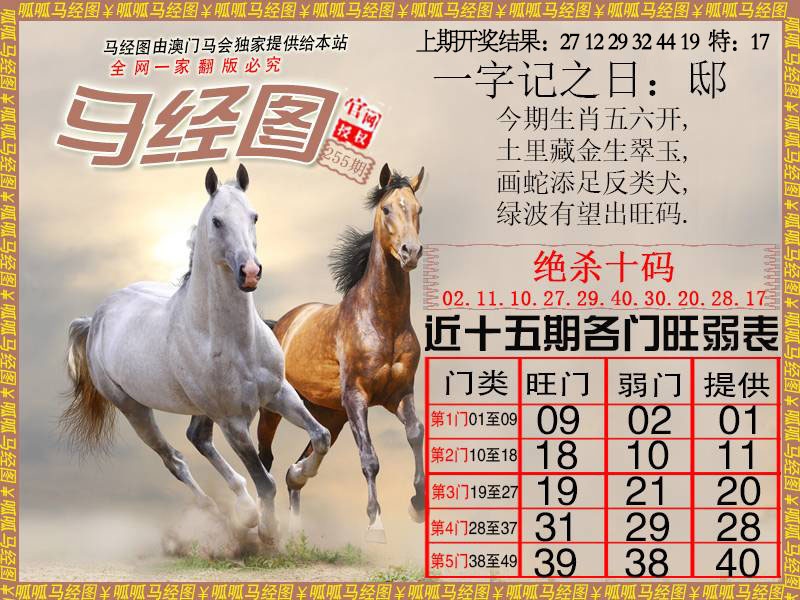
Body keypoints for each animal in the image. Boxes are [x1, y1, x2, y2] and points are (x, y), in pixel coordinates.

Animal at [63, 165, 331, 543]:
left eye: (254, 216)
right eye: (217, 221)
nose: (250, 272)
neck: (235, 341)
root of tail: (96, 317)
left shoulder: (278, 393)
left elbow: (320, 437)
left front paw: (298, 474)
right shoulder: (233, 421)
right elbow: (265, 480)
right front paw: (268, 531)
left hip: (200, 409)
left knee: (197, 438)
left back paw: (243, 509)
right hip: (134, 409)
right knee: (174, 459)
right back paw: (225, 515)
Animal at [256, 163, 425, 543]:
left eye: (418, 209)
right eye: (386, 209)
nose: (410, 252)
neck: (382, 321)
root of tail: (280, 324)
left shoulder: (399, 395)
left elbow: (415, 434)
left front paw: (417, 505)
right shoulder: (357, 397)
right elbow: (370, 458)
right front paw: (376, 524)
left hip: (329, 414)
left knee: (298, 466)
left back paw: (297, 509)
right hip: (275, 409)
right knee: (265, 458)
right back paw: (264, 524)